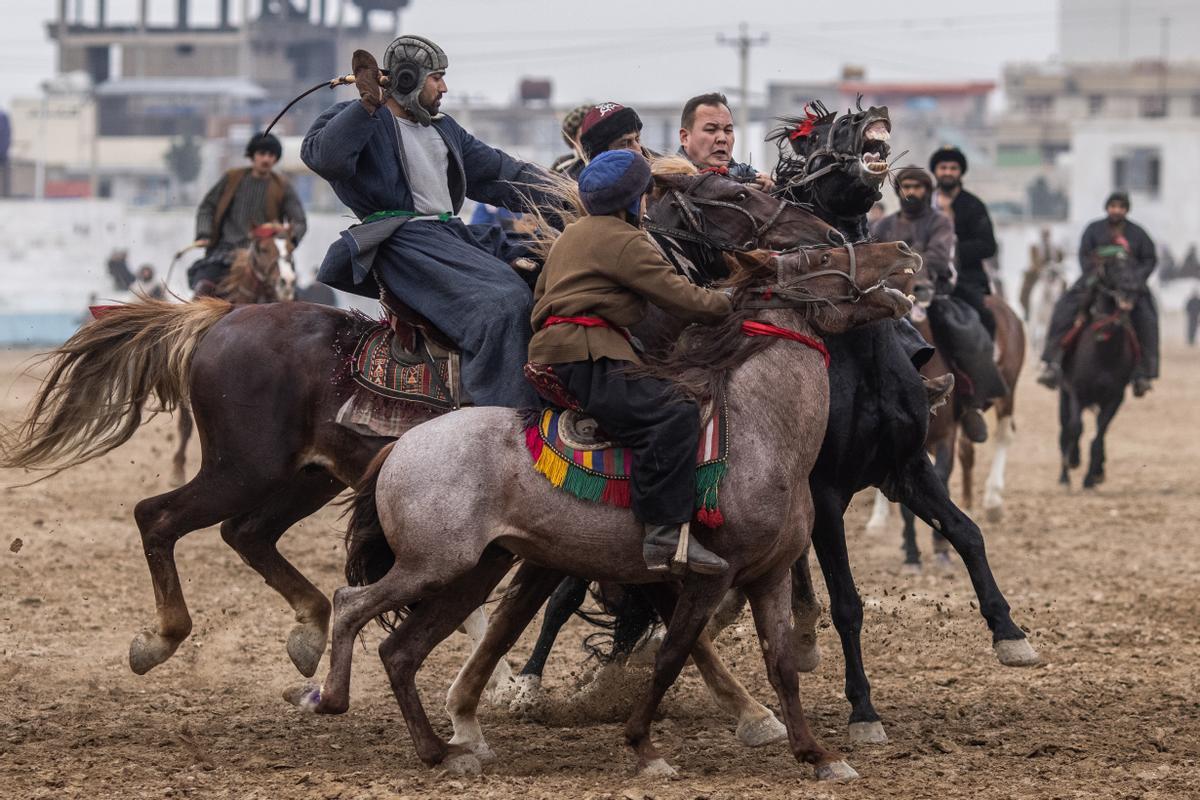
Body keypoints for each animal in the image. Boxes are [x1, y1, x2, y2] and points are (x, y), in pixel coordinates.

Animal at [288, 241, 916, 777]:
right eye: (823, 255)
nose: (903, 250)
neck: (758, 429)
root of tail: (402, 446)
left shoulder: (770, 575)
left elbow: (781, 664)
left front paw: (817, 754)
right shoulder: (711, 576)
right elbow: (673, 656)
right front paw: (644, 747)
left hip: (472, 573)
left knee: (400, 651)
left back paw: (441, 751)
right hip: (433, 566)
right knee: (350, 604)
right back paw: (334, 698)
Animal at [1060, 248, 1142, 489]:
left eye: (1136, 266)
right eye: (1114, 267)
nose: (1131, 290)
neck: (1103, 350)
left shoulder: (1114, 398)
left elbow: (1099, 435)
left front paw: (1091, 477)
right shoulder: (1076, 392)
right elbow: (1076, 427)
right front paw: (1074, 460)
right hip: (1064, 395)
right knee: (1065, 430)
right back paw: (1064, 475)